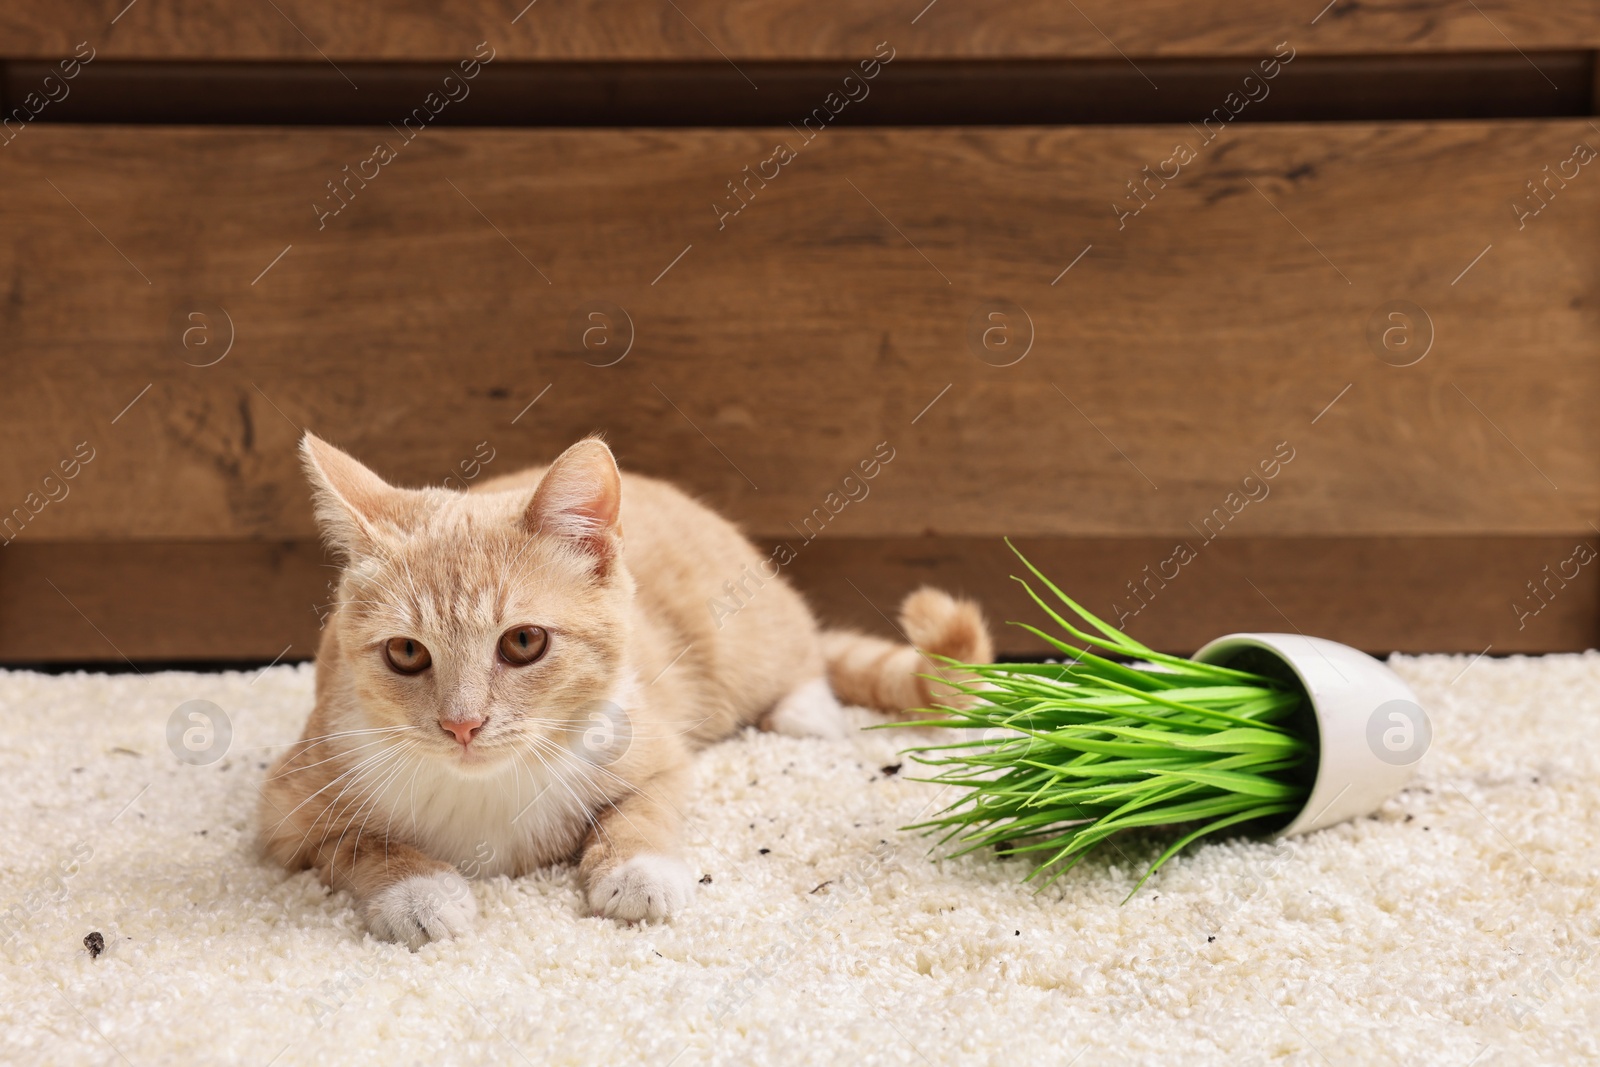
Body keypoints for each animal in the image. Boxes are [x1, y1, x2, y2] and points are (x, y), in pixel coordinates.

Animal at [257, 435, 985, 953]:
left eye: (524, 641)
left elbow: (646, 805)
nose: (462, 724)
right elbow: (354, 844)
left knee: (798, 654)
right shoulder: (290, 804)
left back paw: (805, 709)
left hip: (745, 633)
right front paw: (419, 891)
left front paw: (639, 870)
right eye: (406, 653)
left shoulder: (653, 744)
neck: (488, 787)